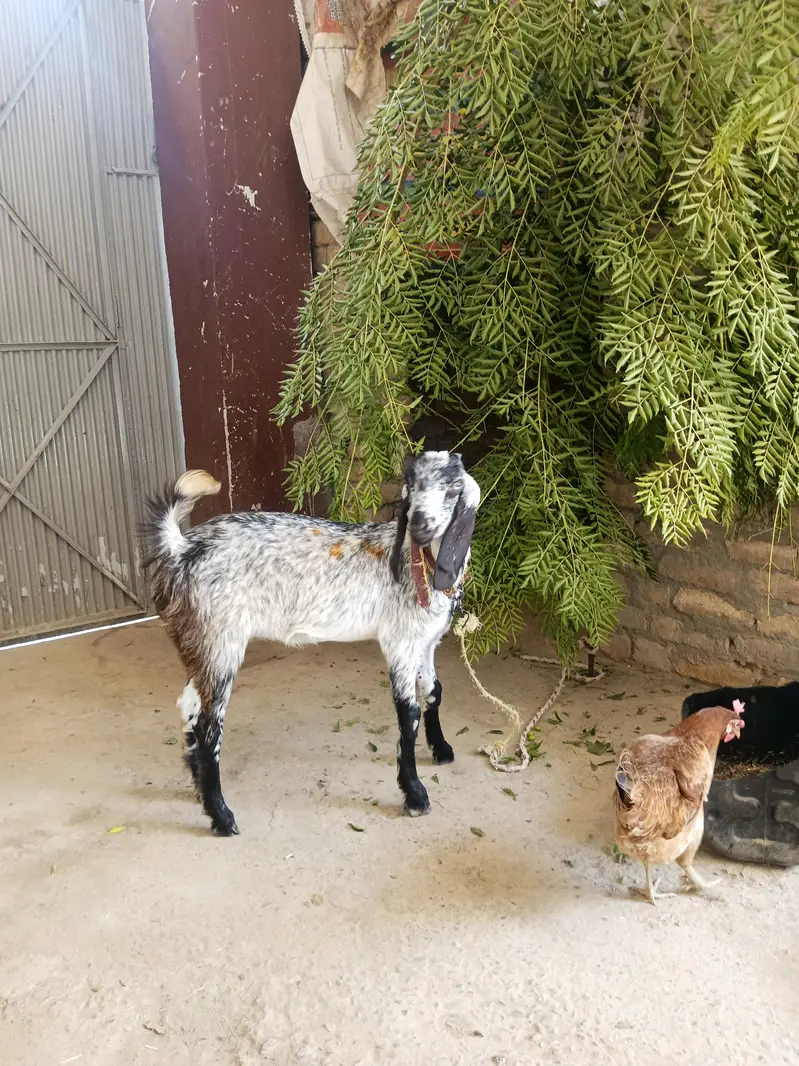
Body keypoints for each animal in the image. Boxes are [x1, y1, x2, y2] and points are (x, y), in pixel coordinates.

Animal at [143, 451, 480, 835]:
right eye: (411, 485)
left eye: (454, 486)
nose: (421, 525)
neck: (420, 563)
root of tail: (182, 547)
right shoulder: (400, 642)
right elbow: (407, 713)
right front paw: (415, 795)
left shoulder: (425, 642)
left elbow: (434, 690)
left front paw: (440, 749)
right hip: (221, 641)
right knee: (208, 727)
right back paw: (222, 816)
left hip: (200, 643)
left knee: (188, 706)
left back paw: (200, 790)